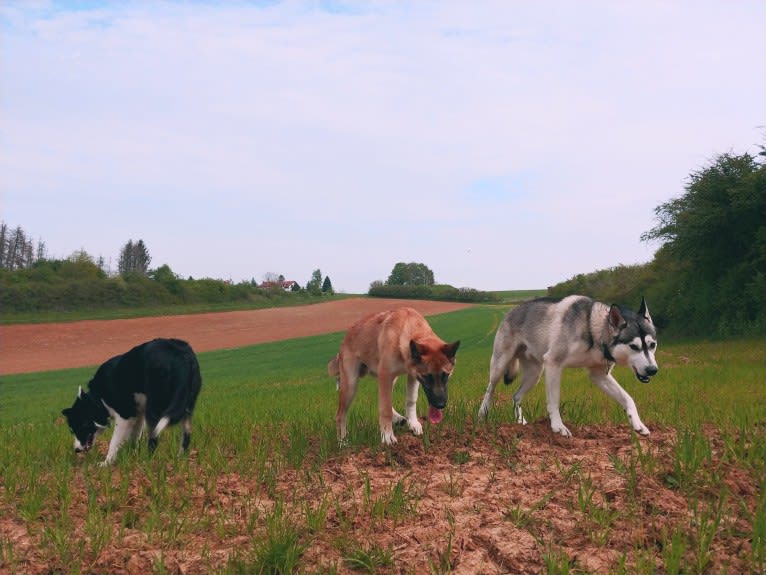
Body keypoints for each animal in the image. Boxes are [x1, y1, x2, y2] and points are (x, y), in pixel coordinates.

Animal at [62, 340, 202, 466]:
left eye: (77, 428)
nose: (76, 450)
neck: (97, 399)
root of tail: (182, 356)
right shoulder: (138, 416)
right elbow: (135, 438)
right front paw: (133, 457)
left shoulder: (124, 417)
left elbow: (114, 442)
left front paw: (106, 463)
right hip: (186, 406)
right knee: (186, 435)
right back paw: (180, 458)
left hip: (154, 409)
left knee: (153, 438)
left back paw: (148, 461)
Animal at [330, 310, 462, 446]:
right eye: (427, 377)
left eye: (446, 375)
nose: (440, 405)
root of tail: (345, 338)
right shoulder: (386, 374)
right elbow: (385, 408)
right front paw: (387, 435)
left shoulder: (412, 375)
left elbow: (411, 400)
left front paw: (413, 423)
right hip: (351, 385)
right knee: (340, 415)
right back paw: (342, 442)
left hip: (391, 380)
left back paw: (398, 419)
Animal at [476, 296, 656, 436]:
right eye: (634, 346)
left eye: (652, 345)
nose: (653, 370)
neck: (593, 329)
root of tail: (511, 310)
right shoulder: (553, 364)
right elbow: (554, 401)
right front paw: (558, 426)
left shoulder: (599, 375)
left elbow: (628, 398)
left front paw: (638, 424)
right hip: (500, 365)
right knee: (490, 389)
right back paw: (482, 415)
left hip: (535, 374)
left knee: (516, 396)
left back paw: (521, 421)